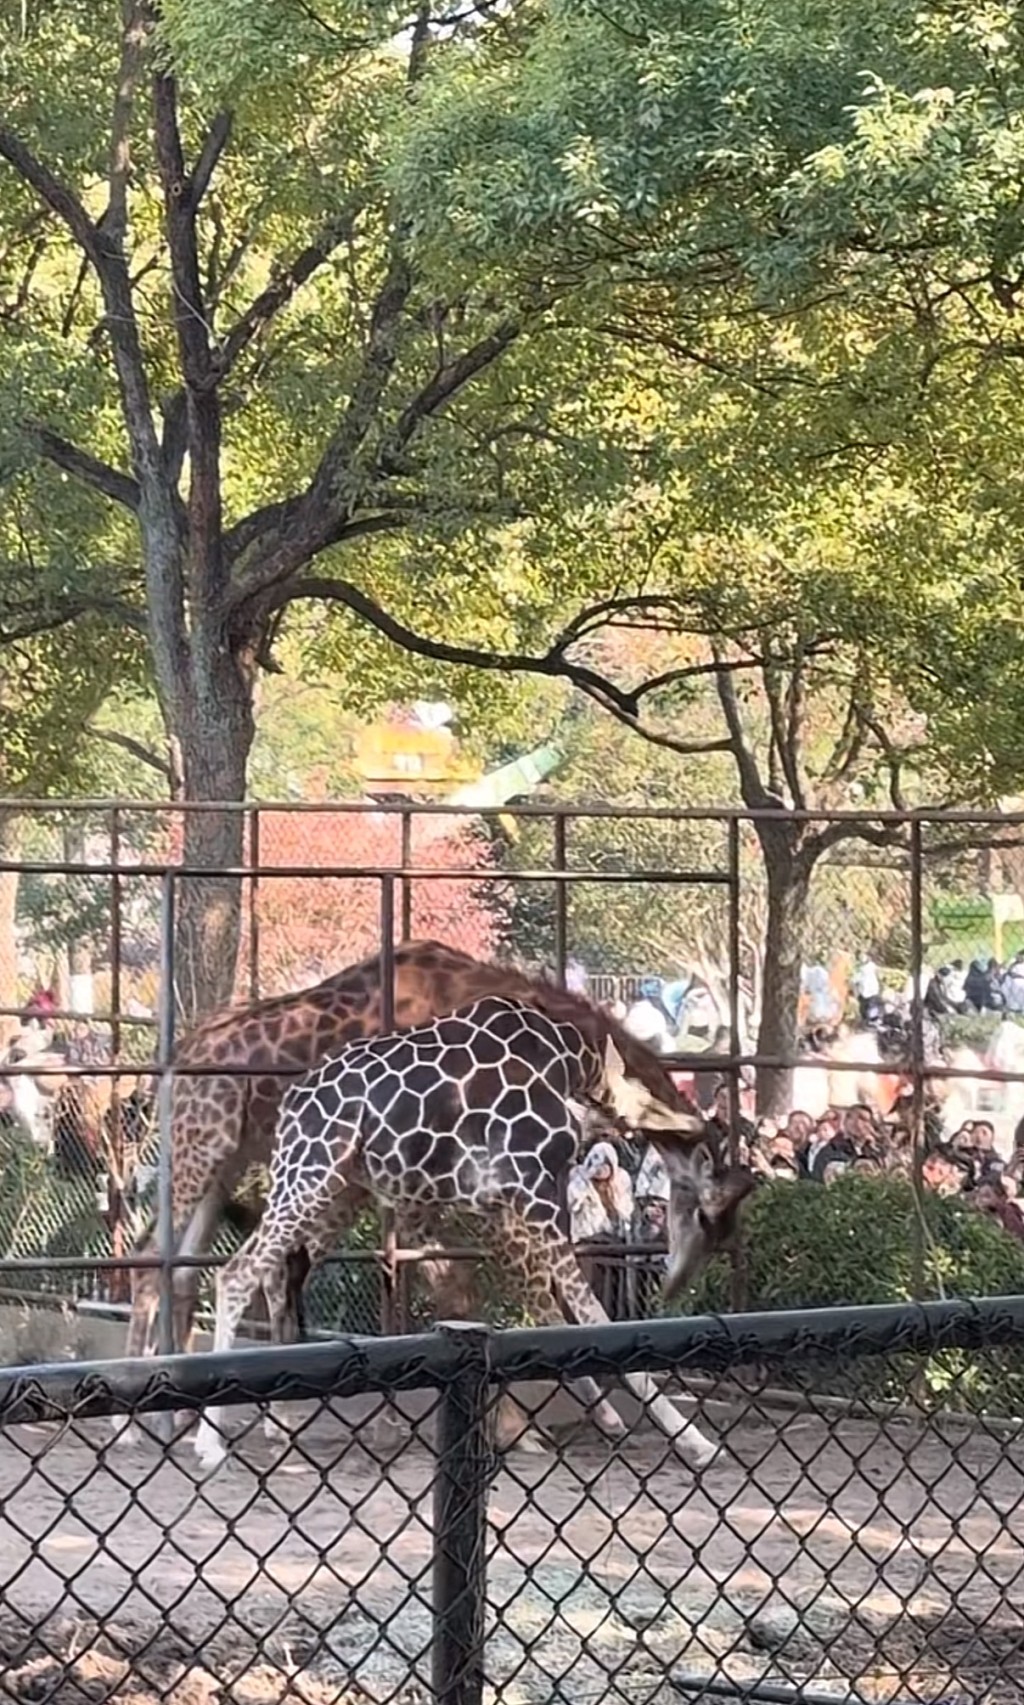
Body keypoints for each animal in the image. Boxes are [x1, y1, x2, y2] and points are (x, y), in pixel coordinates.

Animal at [193, 995, 749, 1473]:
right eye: (706, 1217)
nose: (677, 1283)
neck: (575, 1066)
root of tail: (291, 1103)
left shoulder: (493, 1205)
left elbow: (531, 1310)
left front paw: (592, 1420)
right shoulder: (531, 1195)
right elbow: (587, 1314)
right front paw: (694, 1442)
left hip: (338, 1189)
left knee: (276, 1275)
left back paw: (278, 1425)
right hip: (311, 1173)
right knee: (238, 1273)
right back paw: (210, 1443)